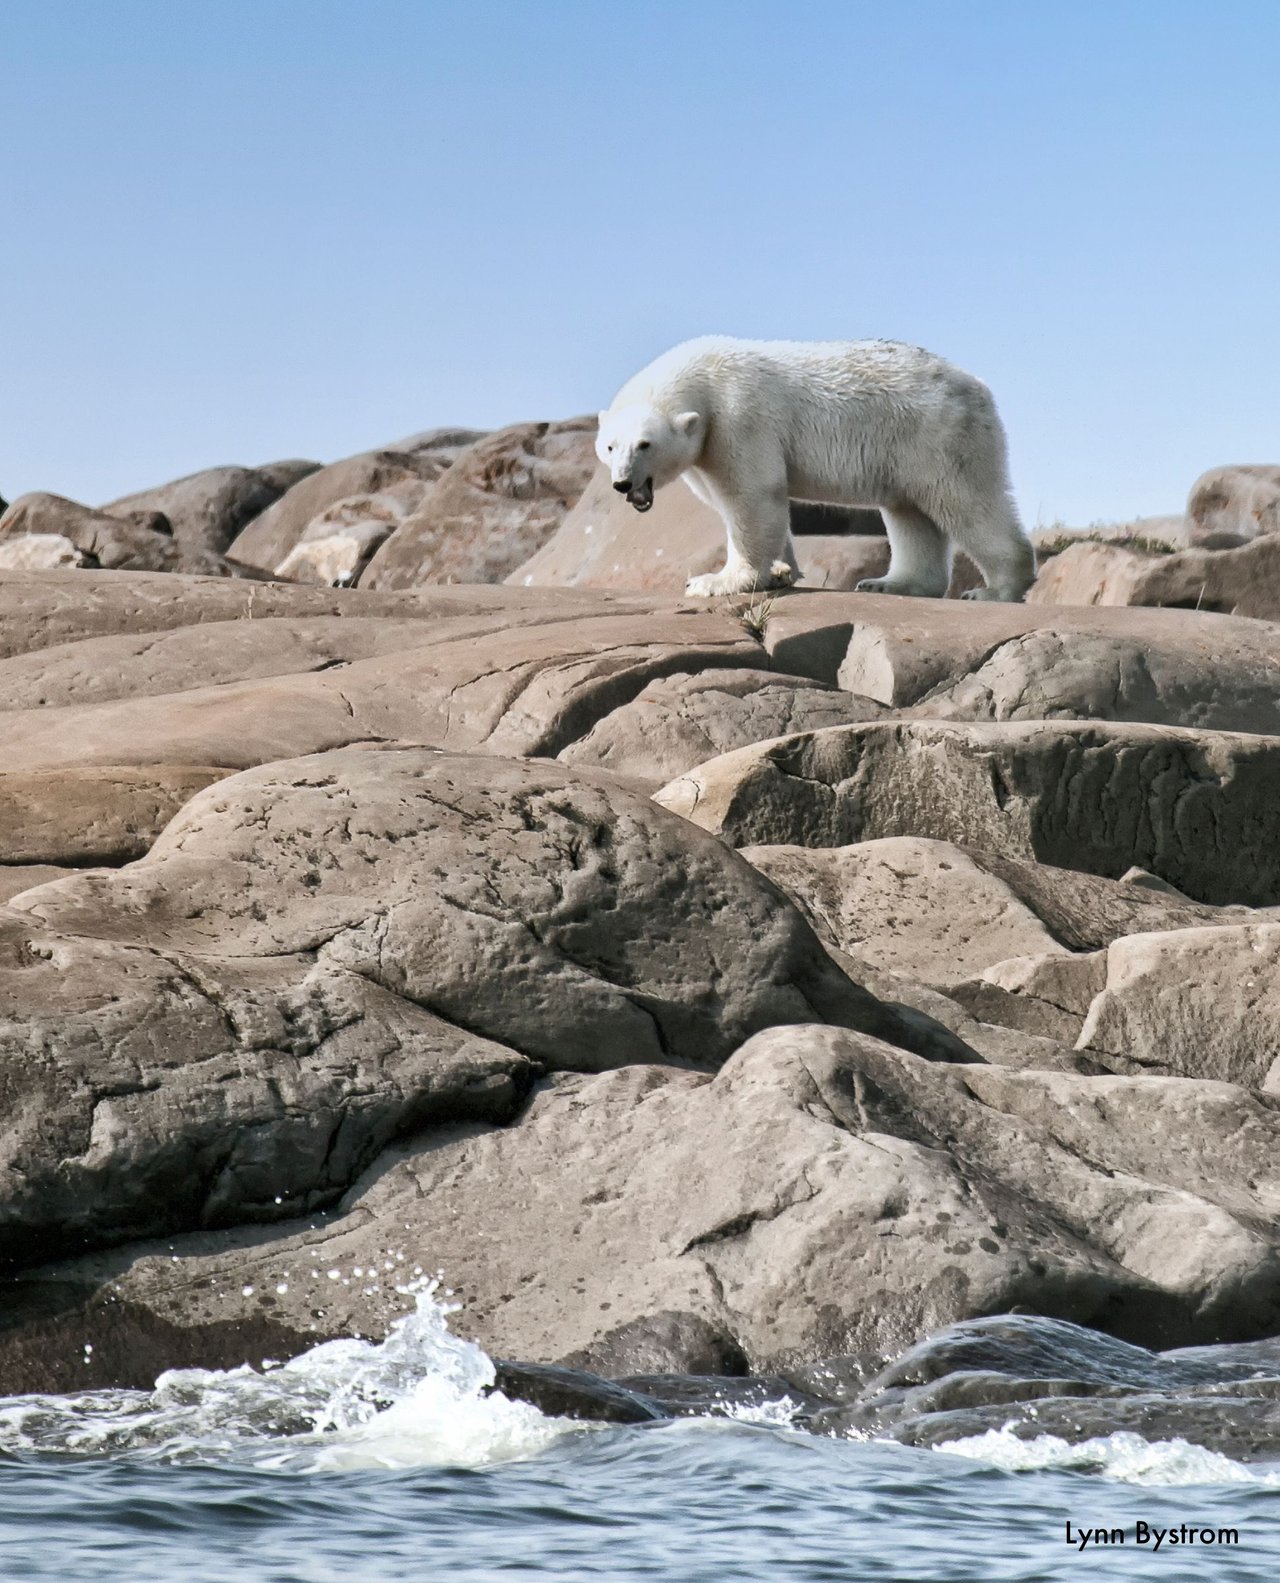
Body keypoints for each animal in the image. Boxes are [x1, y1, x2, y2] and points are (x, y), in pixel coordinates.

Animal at [594, 335, 1031, 598]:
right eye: (610, 446)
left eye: (645, 444)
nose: (622, 483)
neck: (704, 375)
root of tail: (977, 386)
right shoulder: (708, 442)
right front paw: (781, 570)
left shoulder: (738, 417)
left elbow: (751, 495)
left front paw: (715, 581)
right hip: (908, 448)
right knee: (910, 511)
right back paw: (888, 583)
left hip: (939, 434)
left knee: (964, 500)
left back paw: (994, 589)